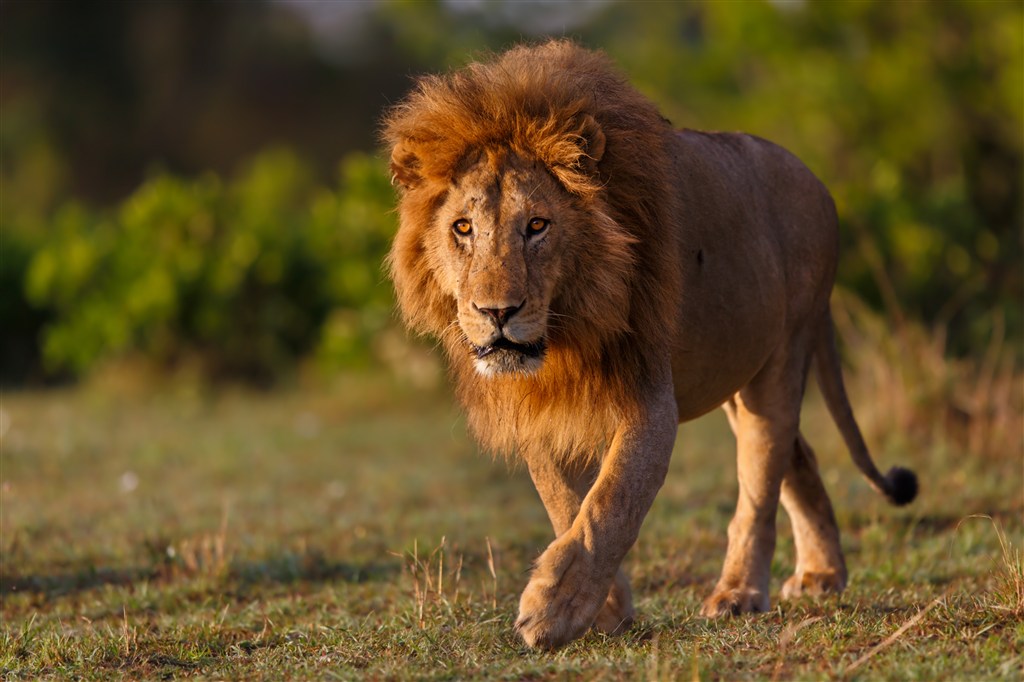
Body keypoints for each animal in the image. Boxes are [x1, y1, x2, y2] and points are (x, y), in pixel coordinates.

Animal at [380, 39, 917, 647]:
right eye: (463, 228)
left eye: (537, 226)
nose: (497, 313)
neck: (566, 334)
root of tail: (817, 181)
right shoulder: (539, 409)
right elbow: (567, 504)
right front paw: (604, 610)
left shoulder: (650, 397)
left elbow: (610, 502)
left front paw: (553, 610)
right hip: (736, 376)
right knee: (796, 456)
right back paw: (823, 574)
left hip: (783, 357)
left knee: (760, 482)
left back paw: (738, 593)